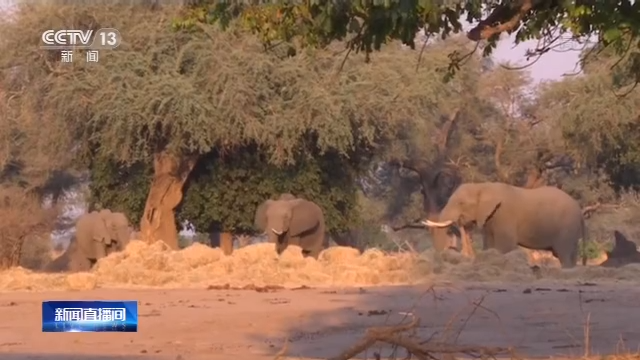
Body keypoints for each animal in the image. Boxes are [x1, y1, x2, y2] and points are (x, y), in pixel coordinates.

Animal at [422, 183, 588, 268]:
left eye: (461, 203)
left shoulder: (505, 215)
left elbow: (505, 245)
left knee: (563, 253)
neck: (482, 186)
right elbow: (489, 244)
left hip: (566, 228)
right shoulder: (489, 217)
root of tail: (580, 211)